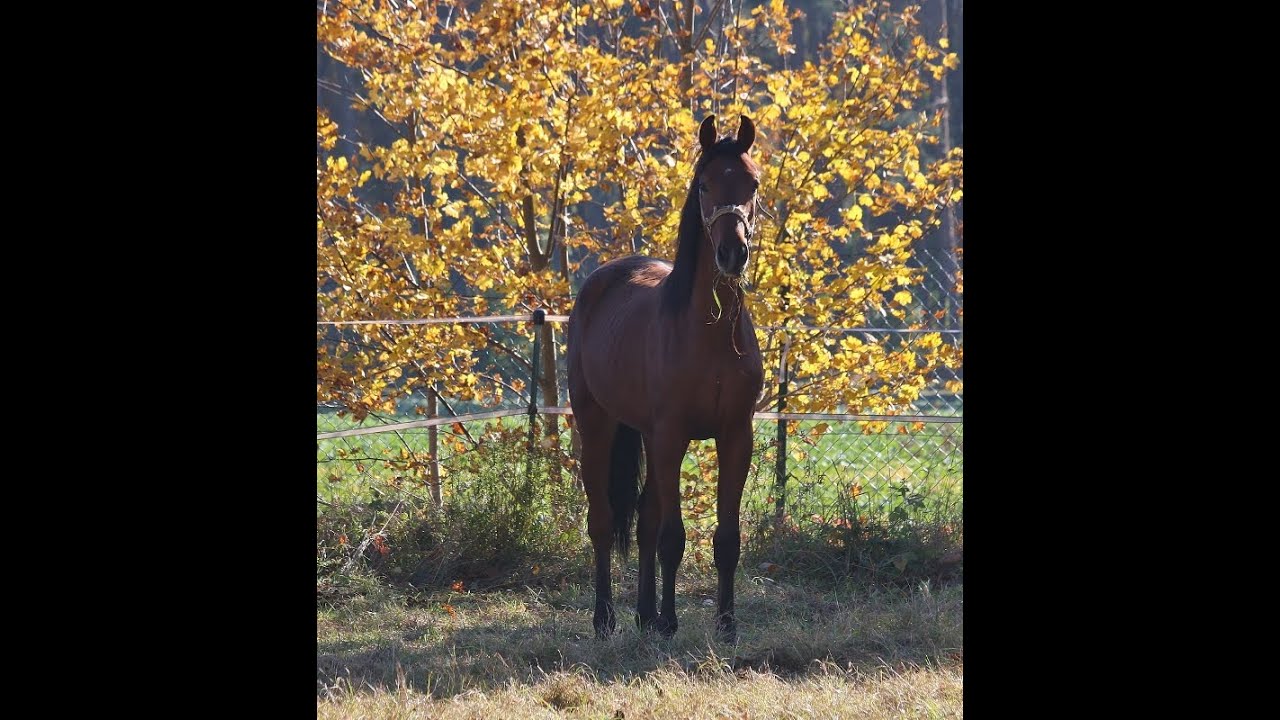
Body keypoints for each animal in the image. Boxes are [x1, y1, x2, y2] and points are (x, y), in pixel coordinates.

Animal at [567, 114, 766, 642]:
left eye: (753, 183)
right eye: (704, 184)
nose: (732, 253)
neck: (708, 332)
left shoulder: (734, 437)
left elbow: (725, 538)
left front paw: (725, 624)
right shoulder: (673, 435)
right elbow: (673, 536)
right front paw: (673, 622)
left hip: (646, 436)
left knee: (644, 520)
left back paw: (644, 614)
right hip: (597, 424)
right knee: (603, 520)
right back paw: (606, 618)